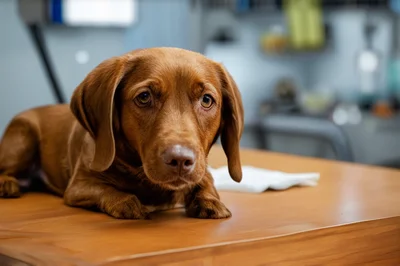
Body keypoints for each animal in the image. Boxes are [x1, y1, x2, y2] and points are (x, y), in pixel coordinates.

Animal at [0, 46, 244, 219]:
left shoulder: (203, 169)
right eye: (144, 97)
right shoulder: (78, 186)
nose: (180, 160)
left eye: (206, 100)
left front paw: (209, 200)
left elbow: (205, 181)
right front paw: (127, 202)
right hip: (23, 139)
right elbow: (106, 190)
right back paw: (7, 184)